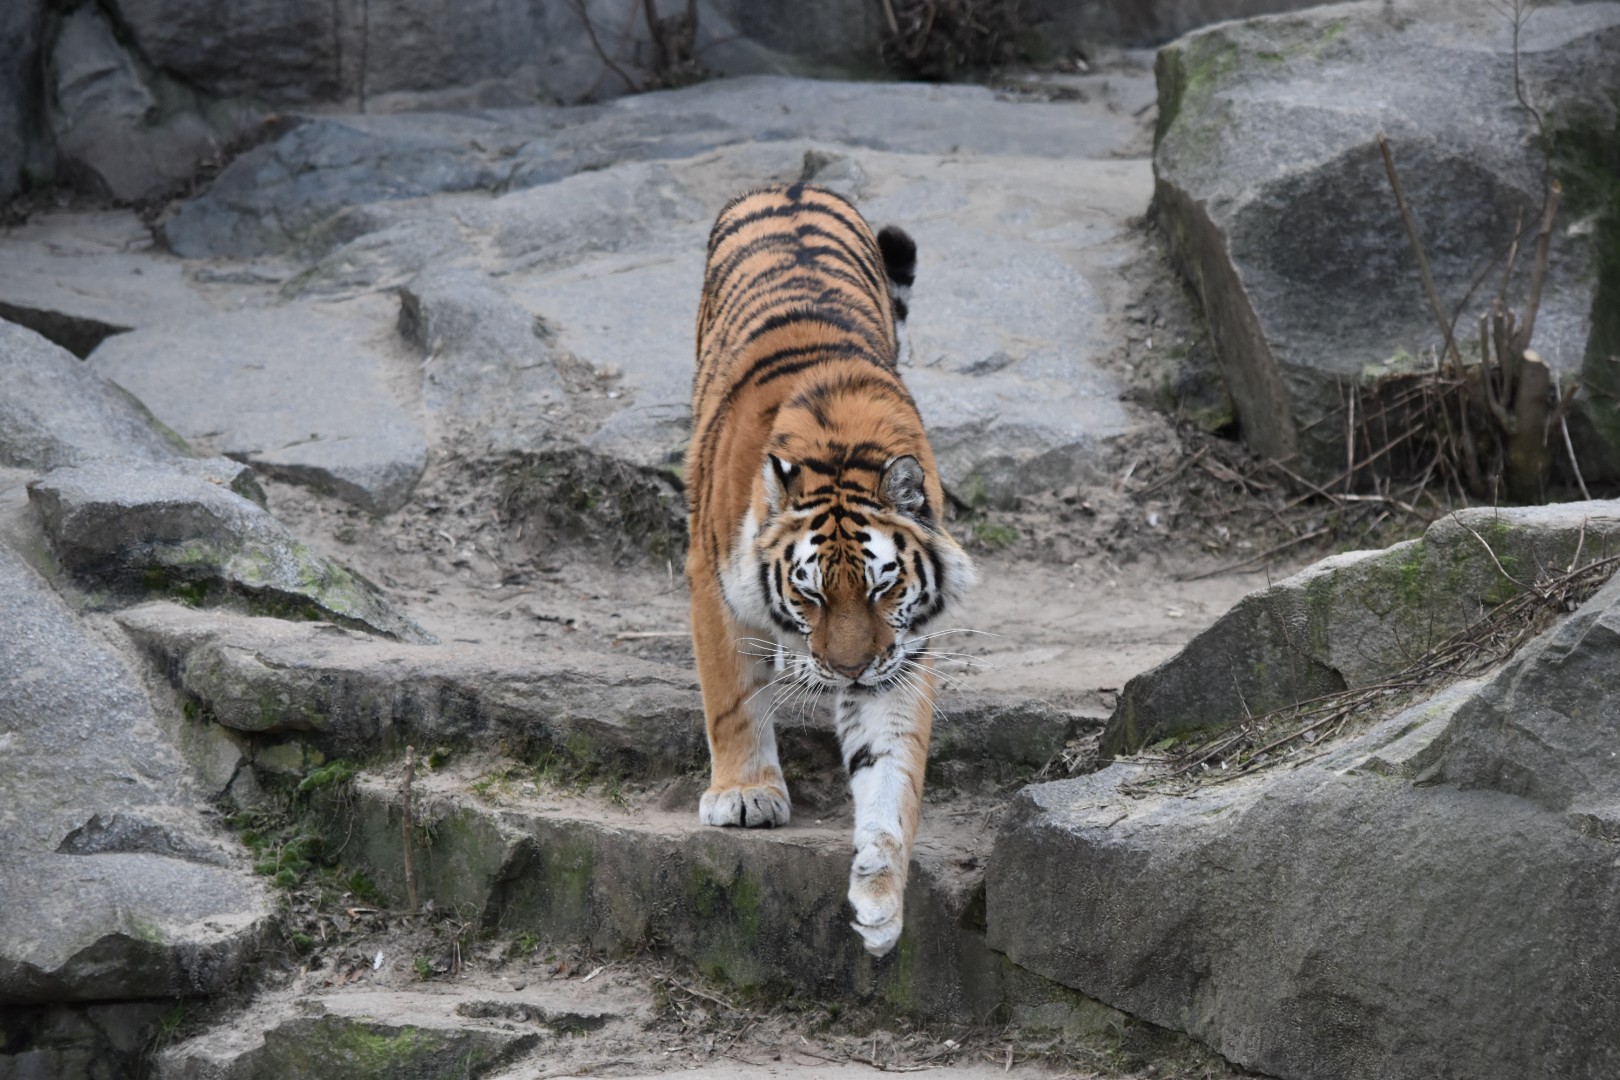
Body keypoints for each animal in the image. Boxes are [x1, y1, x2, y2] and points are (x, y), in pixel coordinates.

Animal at [684, 182, 976, 958]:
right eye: (808, 594)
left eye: (884, 587)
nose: (847, 670)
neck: (843, 448)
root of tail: (792, 184)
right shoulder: (712, 584)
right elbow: (731, 695)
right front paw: (745, 795)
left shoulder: (899, 651)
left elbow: (891, 765)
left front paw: (878, 889)